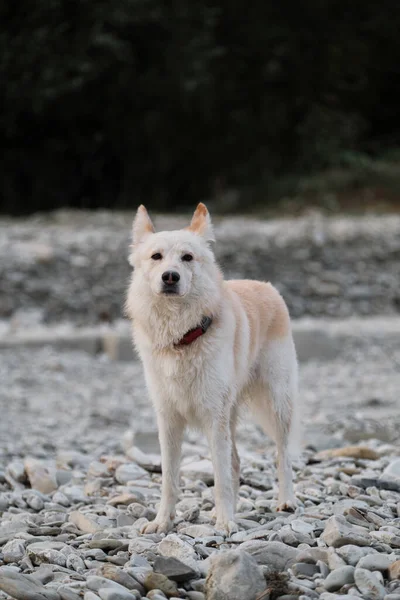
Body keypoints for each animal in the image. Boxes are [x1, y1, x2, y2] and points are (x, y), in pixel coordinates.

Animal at [126, 203, 298, 536]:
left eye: (187, 257)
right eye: (156, 257)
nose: (170, 276)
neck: (182, 337)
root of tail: (267, 286)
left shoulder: (212, 417)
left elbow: (220, 479)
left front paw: (225, 522)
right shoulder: (168, 420)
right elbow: (169, 479)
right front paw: (162, 522)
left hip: (276, 403)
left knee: (282, 453)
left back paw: (286, 501)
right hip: (231, 414)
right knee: (236, 462)